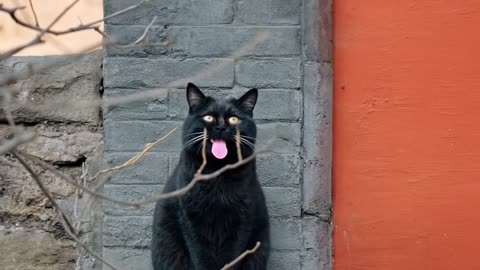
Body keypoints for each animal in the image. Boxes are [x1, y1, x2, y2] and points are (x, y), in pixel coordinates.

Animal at [151, 83, 270, 268]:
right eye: (208, 118)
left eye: (234, 119)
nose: (220, 127)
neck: (216, 171)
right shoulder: (190, 218)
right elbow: (200, 256)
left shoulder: (242, 218)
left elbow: (233, 256)